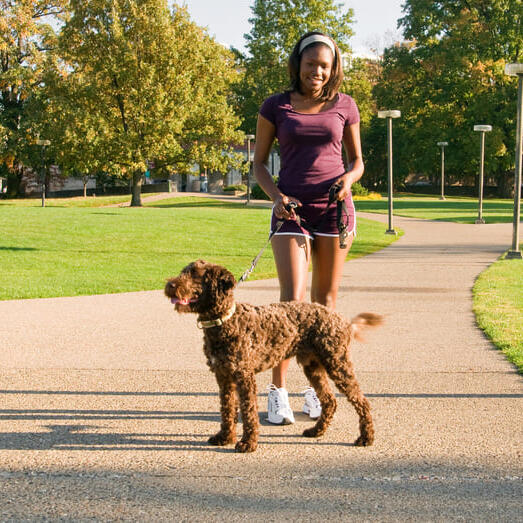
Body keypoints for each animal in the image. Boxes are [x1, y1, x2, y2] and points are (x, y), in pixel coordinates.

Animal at [166, 262, 382, 454]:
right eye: (184, 271)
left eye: (195, 274)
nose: (169, 284)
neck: (225, 322)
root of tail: (343, 321)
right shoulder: (224, 376)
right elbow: (227, 409)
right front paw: (225, 437)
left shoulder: (244, 376)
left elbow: (248, 411)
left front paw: (248, 443)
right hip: (313, 366)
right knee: (330, 401)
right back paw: (317, 431)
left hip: (337, 363)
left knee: (361, 401)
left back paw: (366, 437)